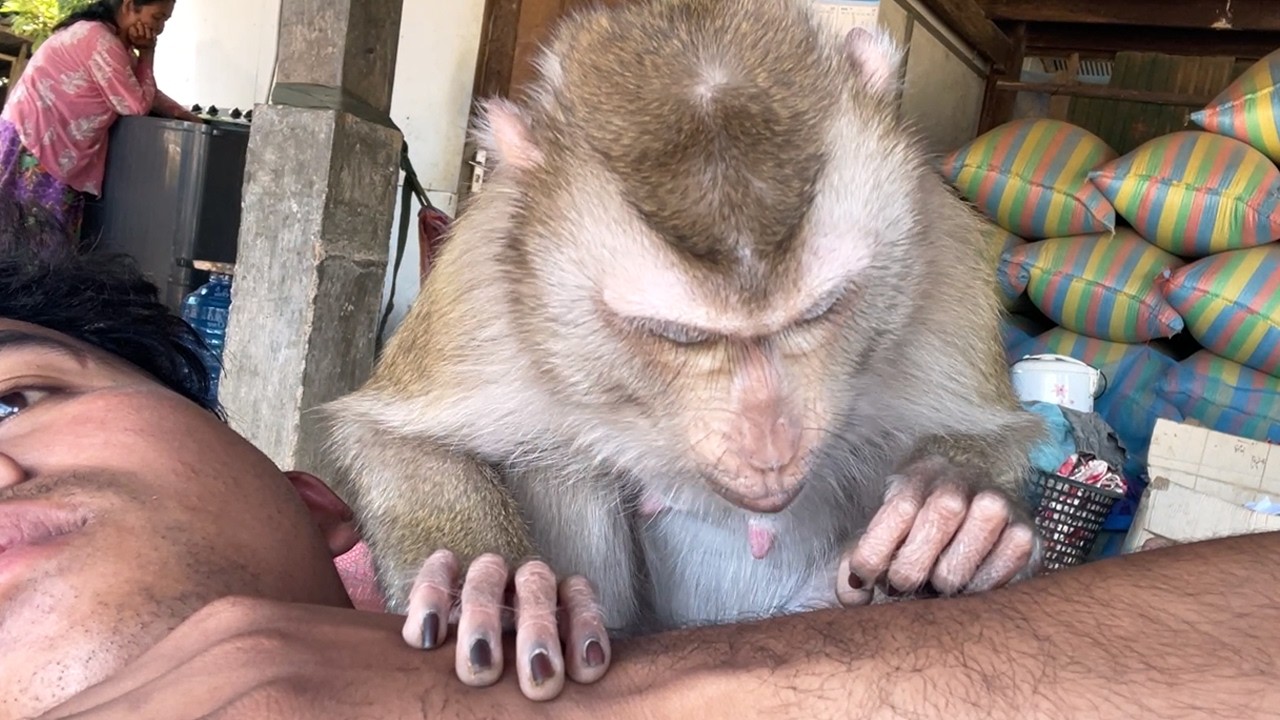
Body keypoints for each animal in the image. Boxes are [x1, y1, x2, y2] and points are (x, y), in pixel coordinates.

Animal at [322, 0, 1046, 702]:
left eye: (819, 311)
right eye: (683, 336)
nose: (770, 449)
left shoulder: (940, 256)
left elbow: (996, 432)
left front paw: (956, 506)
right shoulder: (487, 288)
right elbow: (395, 439)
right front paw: (493, 582)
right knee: (565, 465)